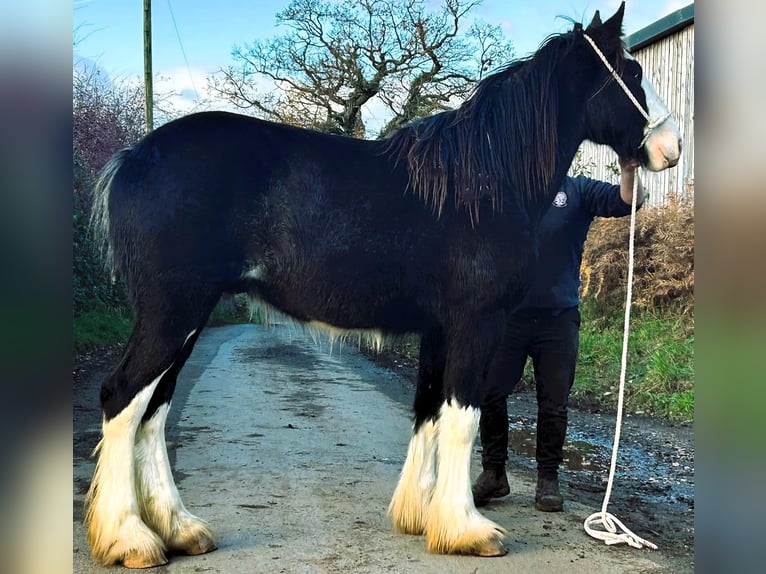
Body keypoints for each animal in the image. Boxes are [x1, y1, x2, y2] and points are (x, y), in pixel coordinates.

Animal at [85, 4, 684, 568]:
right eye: (632, 72)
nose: (672, 145)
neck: (484, 181)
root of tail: (132, 158)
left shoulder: (438, 330)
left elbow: (428, 411)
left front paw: (421, 516)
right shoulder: (475, 323)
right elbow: (462, 418)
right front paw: (468, 530)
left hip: (189, 316)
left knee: (154, 409)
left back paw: (179, 529)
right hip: (174, 311)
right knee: (123, 398)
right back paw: (129, 539)